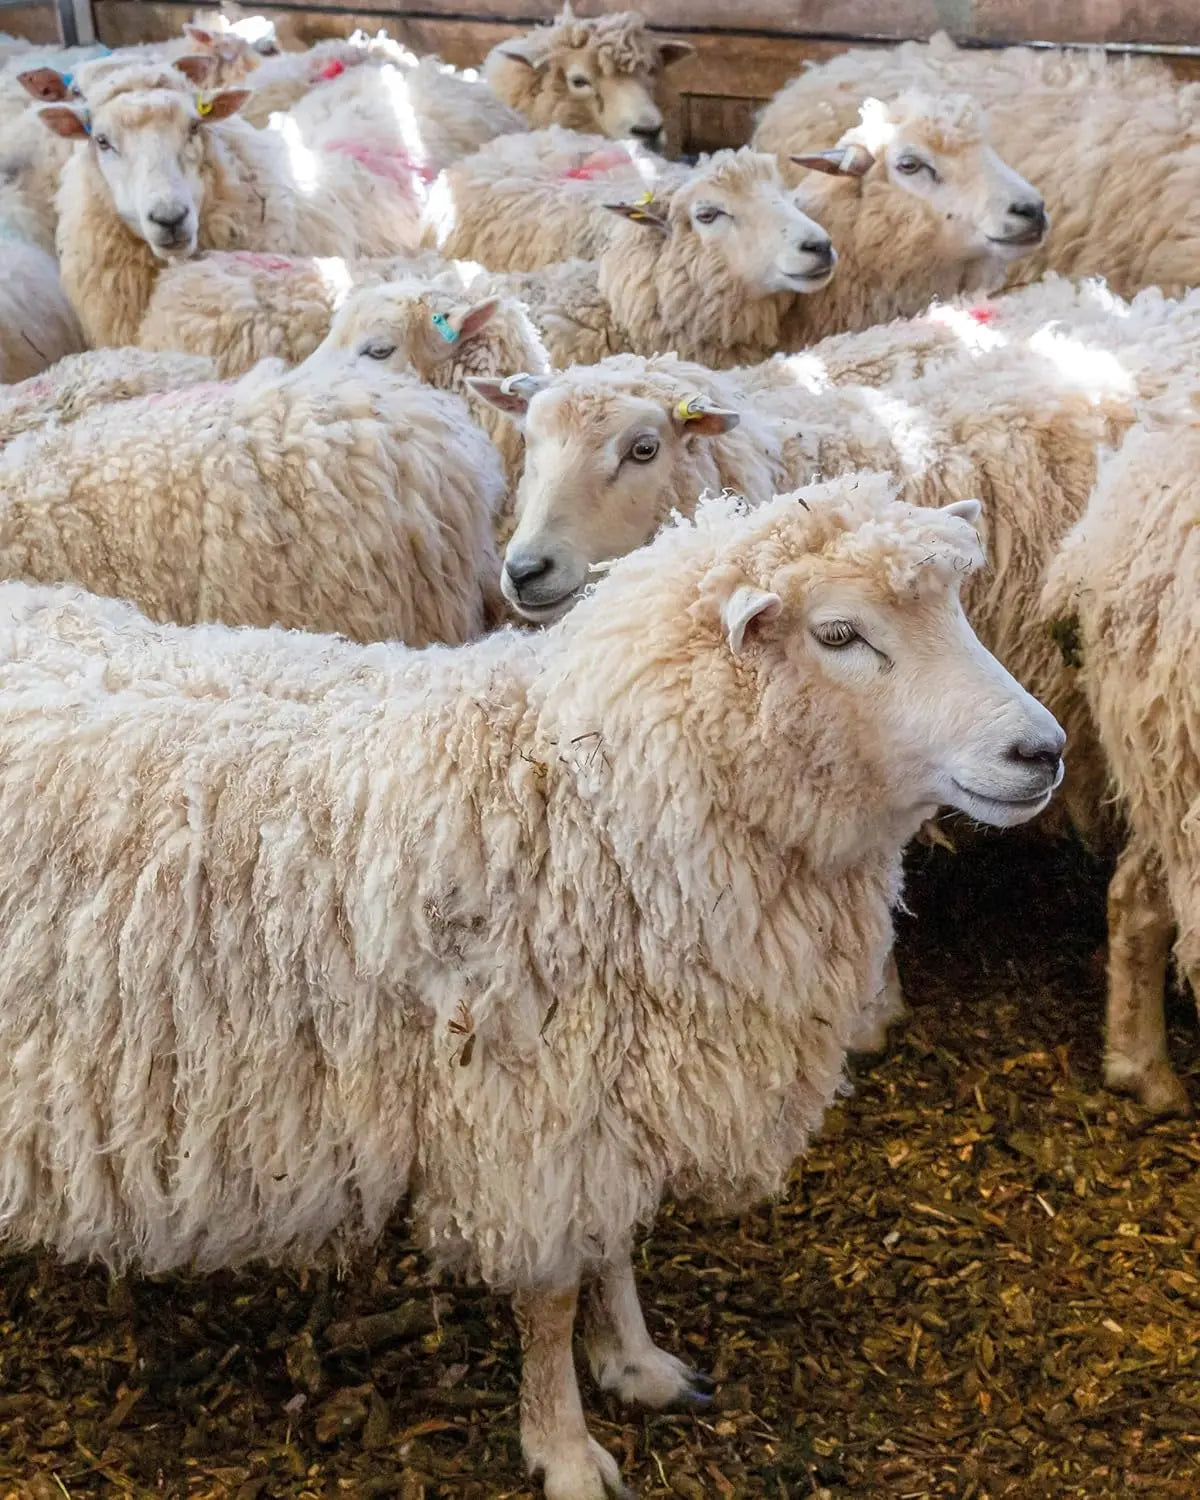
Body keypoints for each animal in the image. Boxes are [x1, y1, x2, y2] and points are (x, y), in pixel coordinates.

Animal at [0, 474, 1064, 1500]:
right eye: (840, 634)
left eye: (957, 608)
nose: (1042, 752)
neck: (589, 794)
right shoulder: (532, 1109)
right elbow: (550, 1298)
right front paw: (563, 1448)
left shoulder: (613, 1091)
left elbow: (614, 1243)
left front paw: (636, 1364)